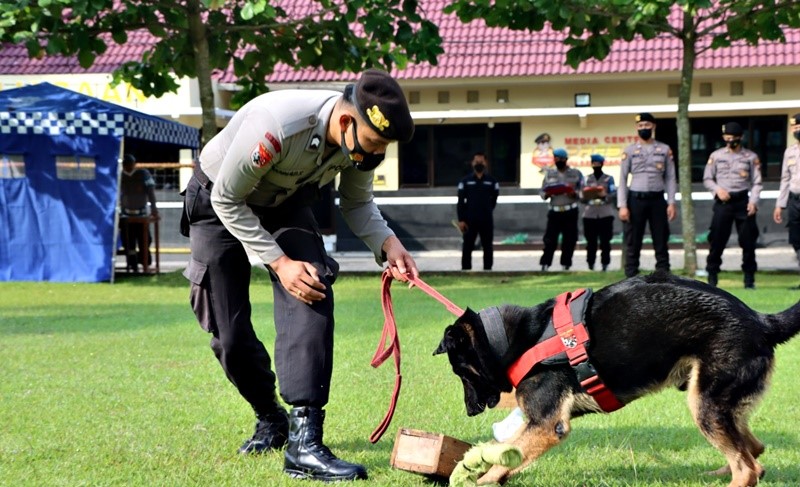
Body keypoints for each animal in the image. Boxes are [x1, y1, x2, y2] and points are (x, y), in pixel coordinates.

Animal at [434, 272, 800, 486]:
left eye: (460, 371)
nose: (470, 411)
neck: (518, 340)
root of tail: (760, 320)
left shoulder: (547, 424)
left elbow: (508, 455)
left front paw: (483, 478)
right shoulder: (538, 423)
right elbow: (508, 451)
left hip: (706, 404)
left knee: (747, 468)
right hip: (715, 403)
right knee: (753, 451)